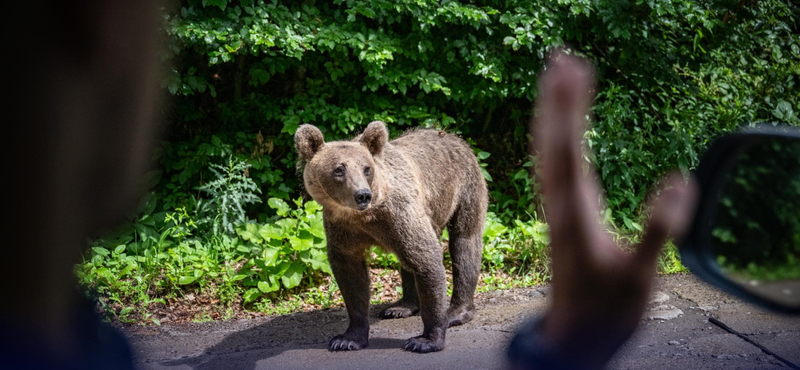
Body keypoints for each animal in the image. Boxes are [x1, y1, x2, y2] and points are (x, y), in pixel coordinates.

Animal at [294, 121, 488, 352]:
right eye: (339, 169)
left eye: (366, 168)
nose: (362, 195)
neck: (366, 216)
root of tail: (453, 137)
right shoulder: (343, 229)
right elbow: (351, 277)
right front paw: (348, 339)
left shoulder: (399, 215)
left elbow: (427, 259)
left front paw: (426, 340)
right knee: (408, 260)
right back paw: (402, 306)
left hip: (464, 189)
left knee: (464, 244)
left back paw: (456, 311)